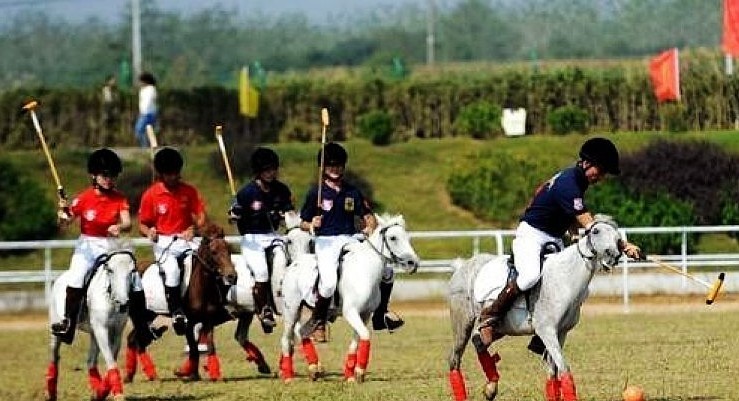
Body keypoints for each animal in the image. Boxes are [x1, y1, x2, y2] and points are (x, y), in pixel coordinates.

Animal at [46, 248, 137, 401]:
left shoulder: (116, 332)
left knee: (91, 361)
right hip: (56, 331)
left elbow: (111, 359)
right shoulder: (101, 329)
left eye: (132, 271)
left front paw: (102, 392)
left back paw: (96, 390)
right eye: (110, 270)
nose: (123, 303)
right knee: (54, 356)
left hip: (93, 334)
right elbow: (110, 361)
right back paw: (50, 394)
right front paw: (118, 394)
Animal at [278, 213, 420, 383]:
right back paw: (288, 377)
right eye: (393, 238)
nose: (413, 263)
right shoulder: (350, 312)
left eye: (407, 237)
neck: (366, 272)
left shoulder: (365, 314)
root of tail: (294, 264)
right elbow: (365, 335)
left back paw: (314, 369)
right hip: (291, 309)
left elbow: (357, 340)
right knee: (286, 339)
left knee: (301, 333)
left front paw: (352, 374)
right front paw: (359, 371)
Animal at [447, 215, 625, 401]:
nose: (614, 256)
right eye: (596, 231)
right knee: (455, 359)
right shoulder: (546, 330)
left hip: (500, 328)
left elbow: (553, 372)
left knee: (479, 341)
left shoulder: (561, 332)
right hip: (462, 323)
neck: (565, 278)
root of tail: (463, 266)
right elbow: (564, 368)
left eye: (617, 236)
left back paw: (491, 387)